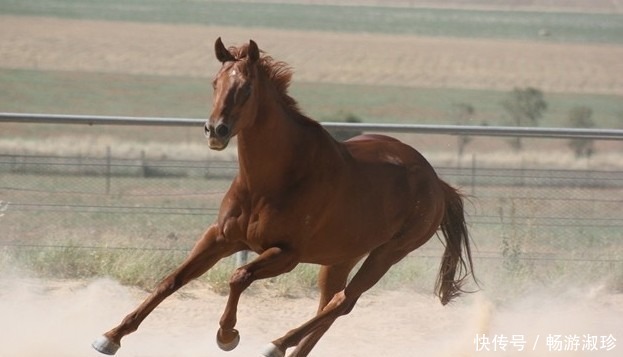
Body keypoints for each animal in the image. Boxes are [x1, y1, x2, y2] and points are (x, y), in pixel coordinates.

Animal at [92, 37, 476, 354]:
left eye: (246, 88)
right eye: (215, 83)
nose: (215, 130)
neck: (269, 182)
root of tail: (436, 183)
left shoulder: (286, 253)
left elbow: (238, 277)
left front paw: (227, 335)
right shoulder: (220, 238)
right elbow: (172, 279)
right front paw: (110, 336)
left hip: (387, 254)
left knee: (343, 302)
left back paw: (276, 344)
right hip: (343, 256)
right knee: (331, 306)